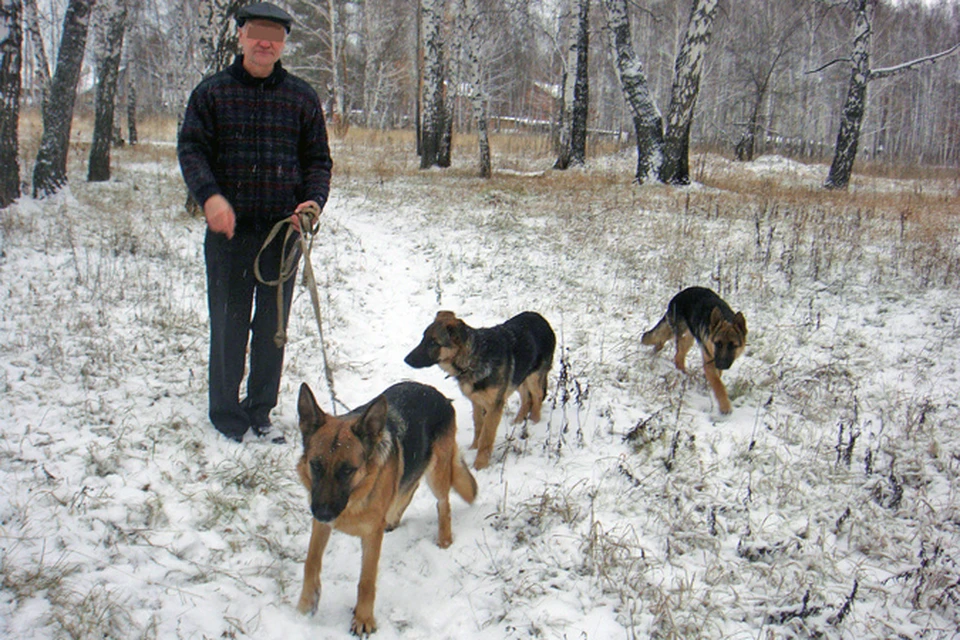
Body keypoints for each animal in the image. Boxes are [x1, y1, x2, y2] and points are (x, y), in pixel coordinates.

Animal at [292, 380, 472, 636]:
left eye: (347, 470)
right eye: (316, 465)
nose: (324, 513)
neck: (354, 500)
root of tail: (437, 393)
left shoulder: (371, 535)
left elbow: (366, 580)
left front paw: (363, 619)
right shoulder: (320, 525)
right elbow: (311, 562)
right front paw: (306, 604)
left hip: (437, 473)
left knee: (443, 503)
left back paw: (444, 539)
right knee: (410, 487)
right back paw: (393, 518)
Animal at [404, 312, 556, 470]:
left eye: (434, 342)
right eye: (423, 338)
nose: (406, 359)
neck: (473, 359)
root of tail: (540, 318)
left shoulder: (494, 406)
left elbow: (486, 436)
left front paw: (480, 464)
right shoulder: (476, 401)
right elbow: (478, 426)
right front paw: (473, 448)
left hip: (533, 377)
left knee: (537, 396)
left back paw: (534, 421)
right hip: (520, 376)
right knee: (526, 398)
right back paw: (518, 421)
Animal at [640, 286, 748, 416]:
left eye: (733, 346)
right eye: (718, 344)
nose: (721, 364)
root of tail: (682, 293)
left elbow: (719, 379)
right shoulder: (709, 362)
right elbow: (718, 385)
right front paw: (725, 406)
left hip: (688, 338)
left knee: (673, 351)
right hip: (678, 334)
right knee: (671, 350)